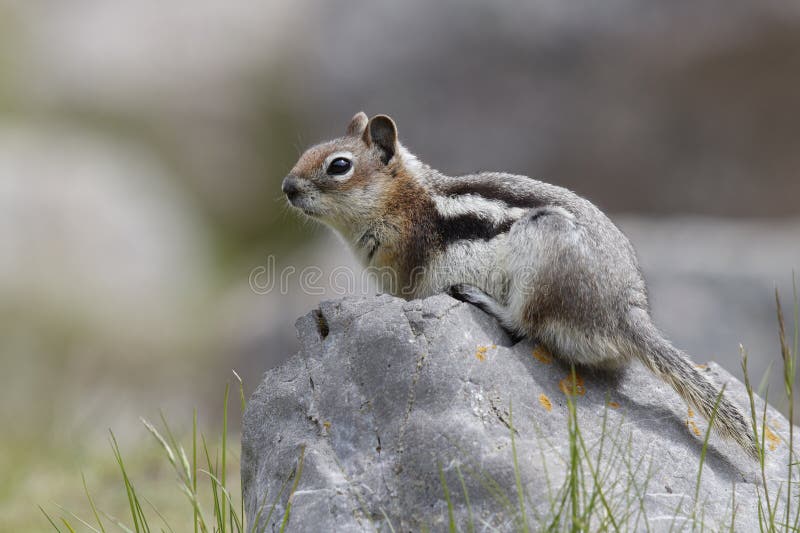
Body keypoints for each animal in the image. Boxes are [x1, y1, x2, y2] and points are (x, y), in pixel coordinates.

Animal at [282, 112, 756, 458]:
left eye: (339, 165)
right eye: (305, 153)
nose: (286, 187)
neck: (403, 201)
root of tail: (626, 314)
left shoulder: (405, 274)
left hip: (542, 255)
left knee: (525, 323)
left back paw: (480, 298)